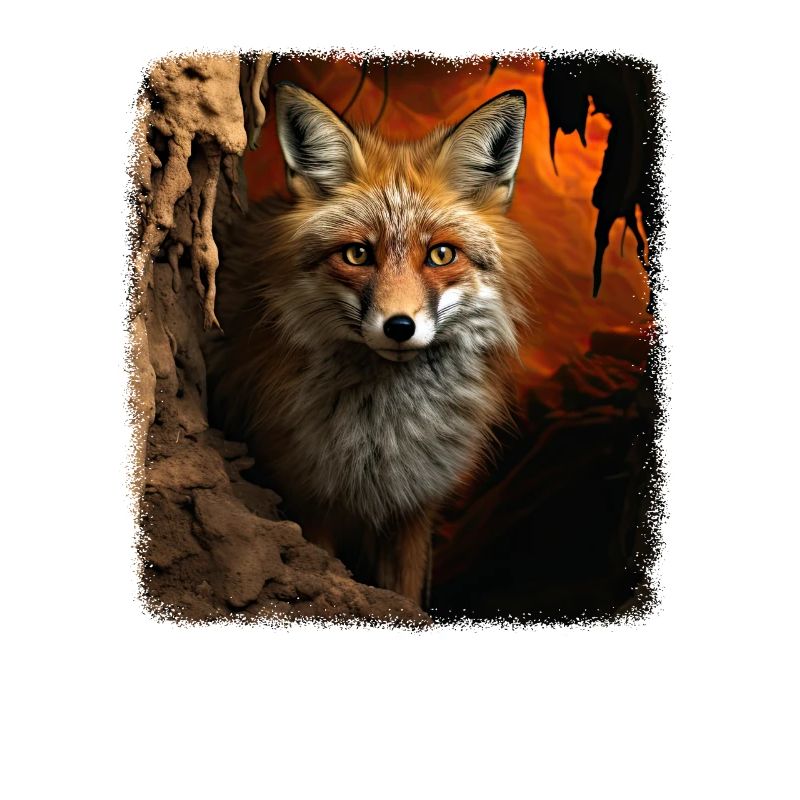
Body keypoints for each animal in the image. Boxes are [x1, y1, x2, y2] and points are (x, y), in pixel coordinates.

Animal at [207, 80, 539, 607]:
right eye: (358, 254)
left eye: (440, 254)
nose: (399, 326)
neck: (383, 438)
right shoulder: (309, 500)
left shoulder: (415, 507)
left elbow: (406, 595)